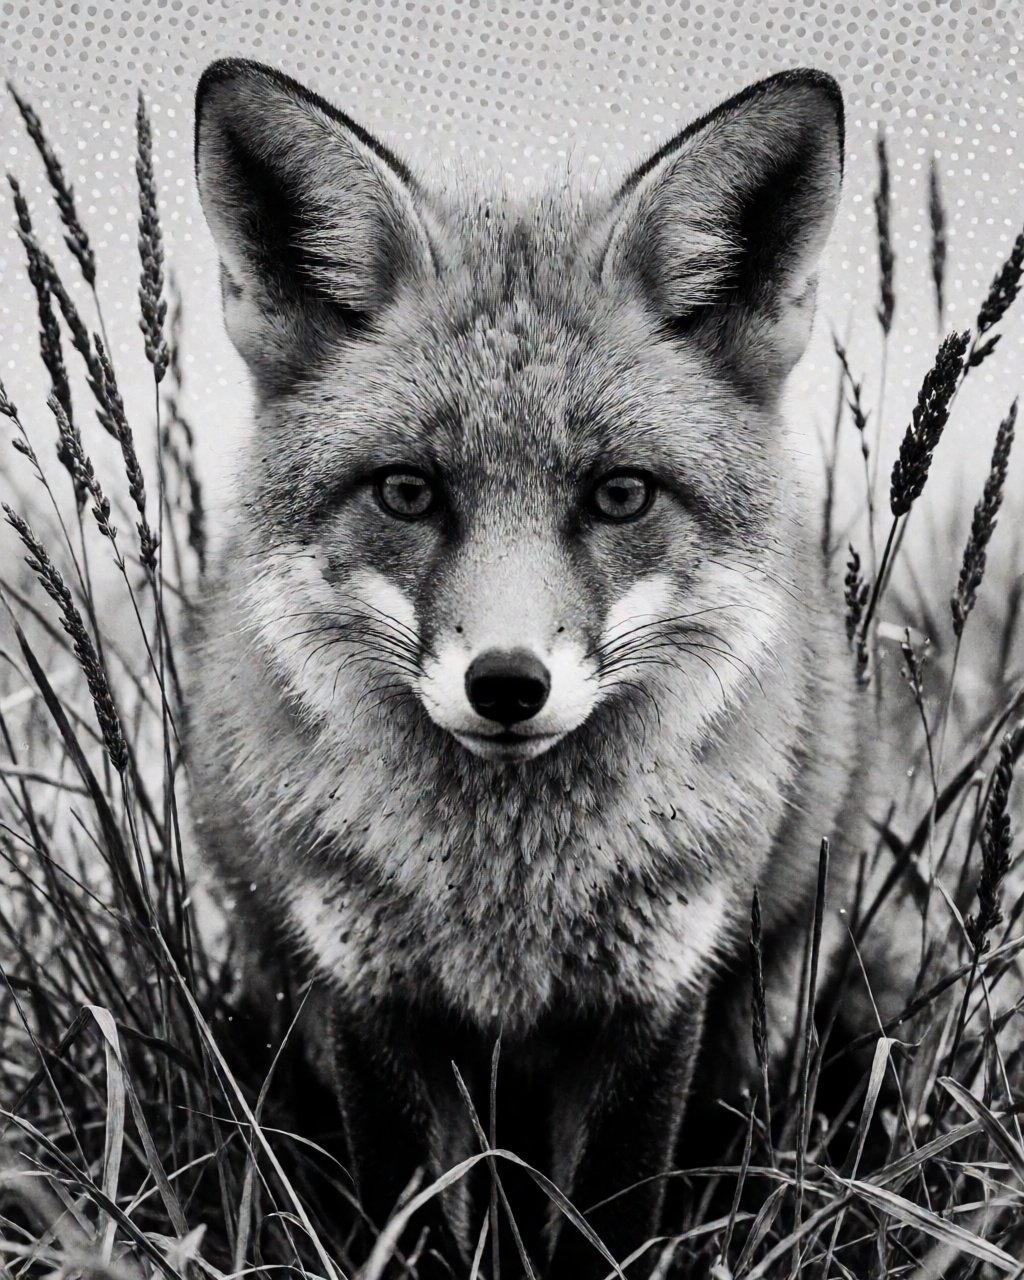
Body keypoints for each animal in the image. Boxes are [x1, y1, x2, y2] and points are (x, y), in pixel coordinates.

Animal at [188, 58, 892, 1278]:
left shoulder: (652, 996)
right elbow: (411, 1229)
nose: (507, 683)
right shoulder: (368, 994)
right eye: (408, 491)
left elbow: (604, 1228)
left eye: (619, 494)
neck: (507, 900)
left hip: (762, 1009)